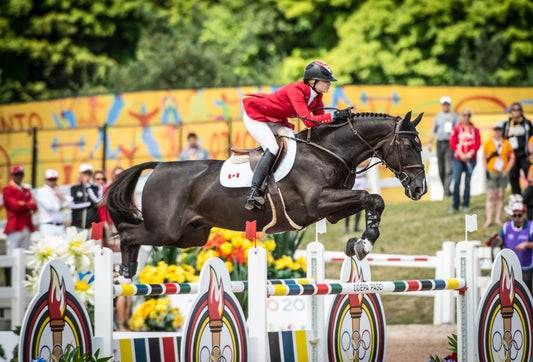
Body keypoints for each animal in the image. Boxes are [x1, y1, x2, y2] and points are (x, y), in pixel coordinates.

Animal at [106, 110, 426, 278]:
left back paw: (127, 272)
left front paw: (358, 243)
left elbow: (371, 200)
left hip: (190, 235)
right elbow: (373, 198)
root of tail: (158, 166)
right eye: (407, 146)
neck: (328, 152)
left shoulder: (332, 210)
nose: (419, 188)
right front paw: (364, 244)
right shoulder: (317, 203)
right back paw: (124, 271)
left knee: (135, 233)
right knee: (129, 233)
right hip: (165, 230)